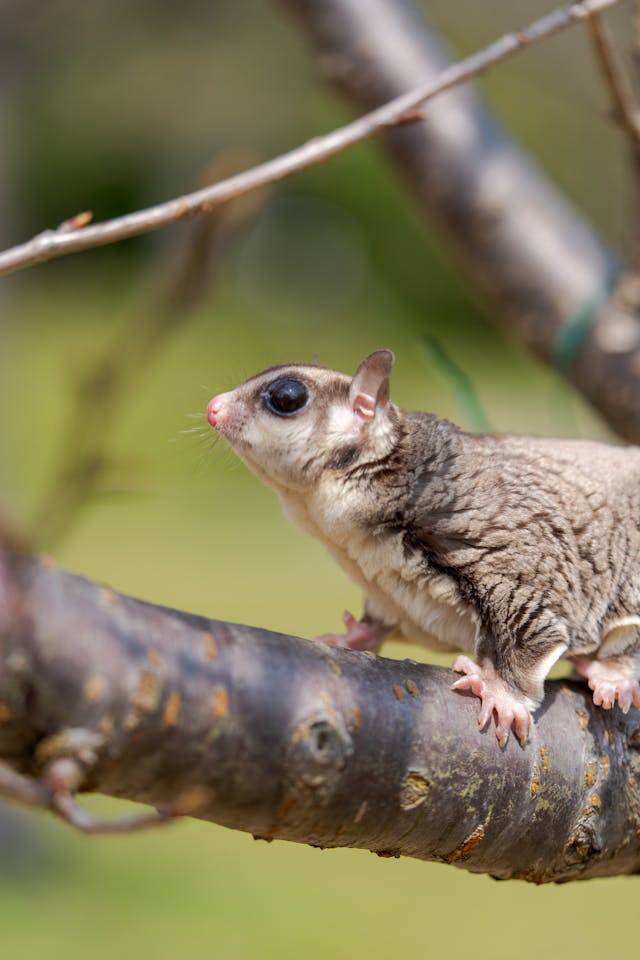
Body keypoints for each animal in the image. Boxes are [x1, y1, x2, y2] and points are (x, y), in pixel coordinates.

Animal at [207, 349, 640, 746]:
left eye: (287, 397)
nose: (213, 408)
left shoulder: (506, 550)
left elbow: (532, 623)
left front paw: (504, 694)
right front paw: (355, 637)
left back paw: (611, 673)